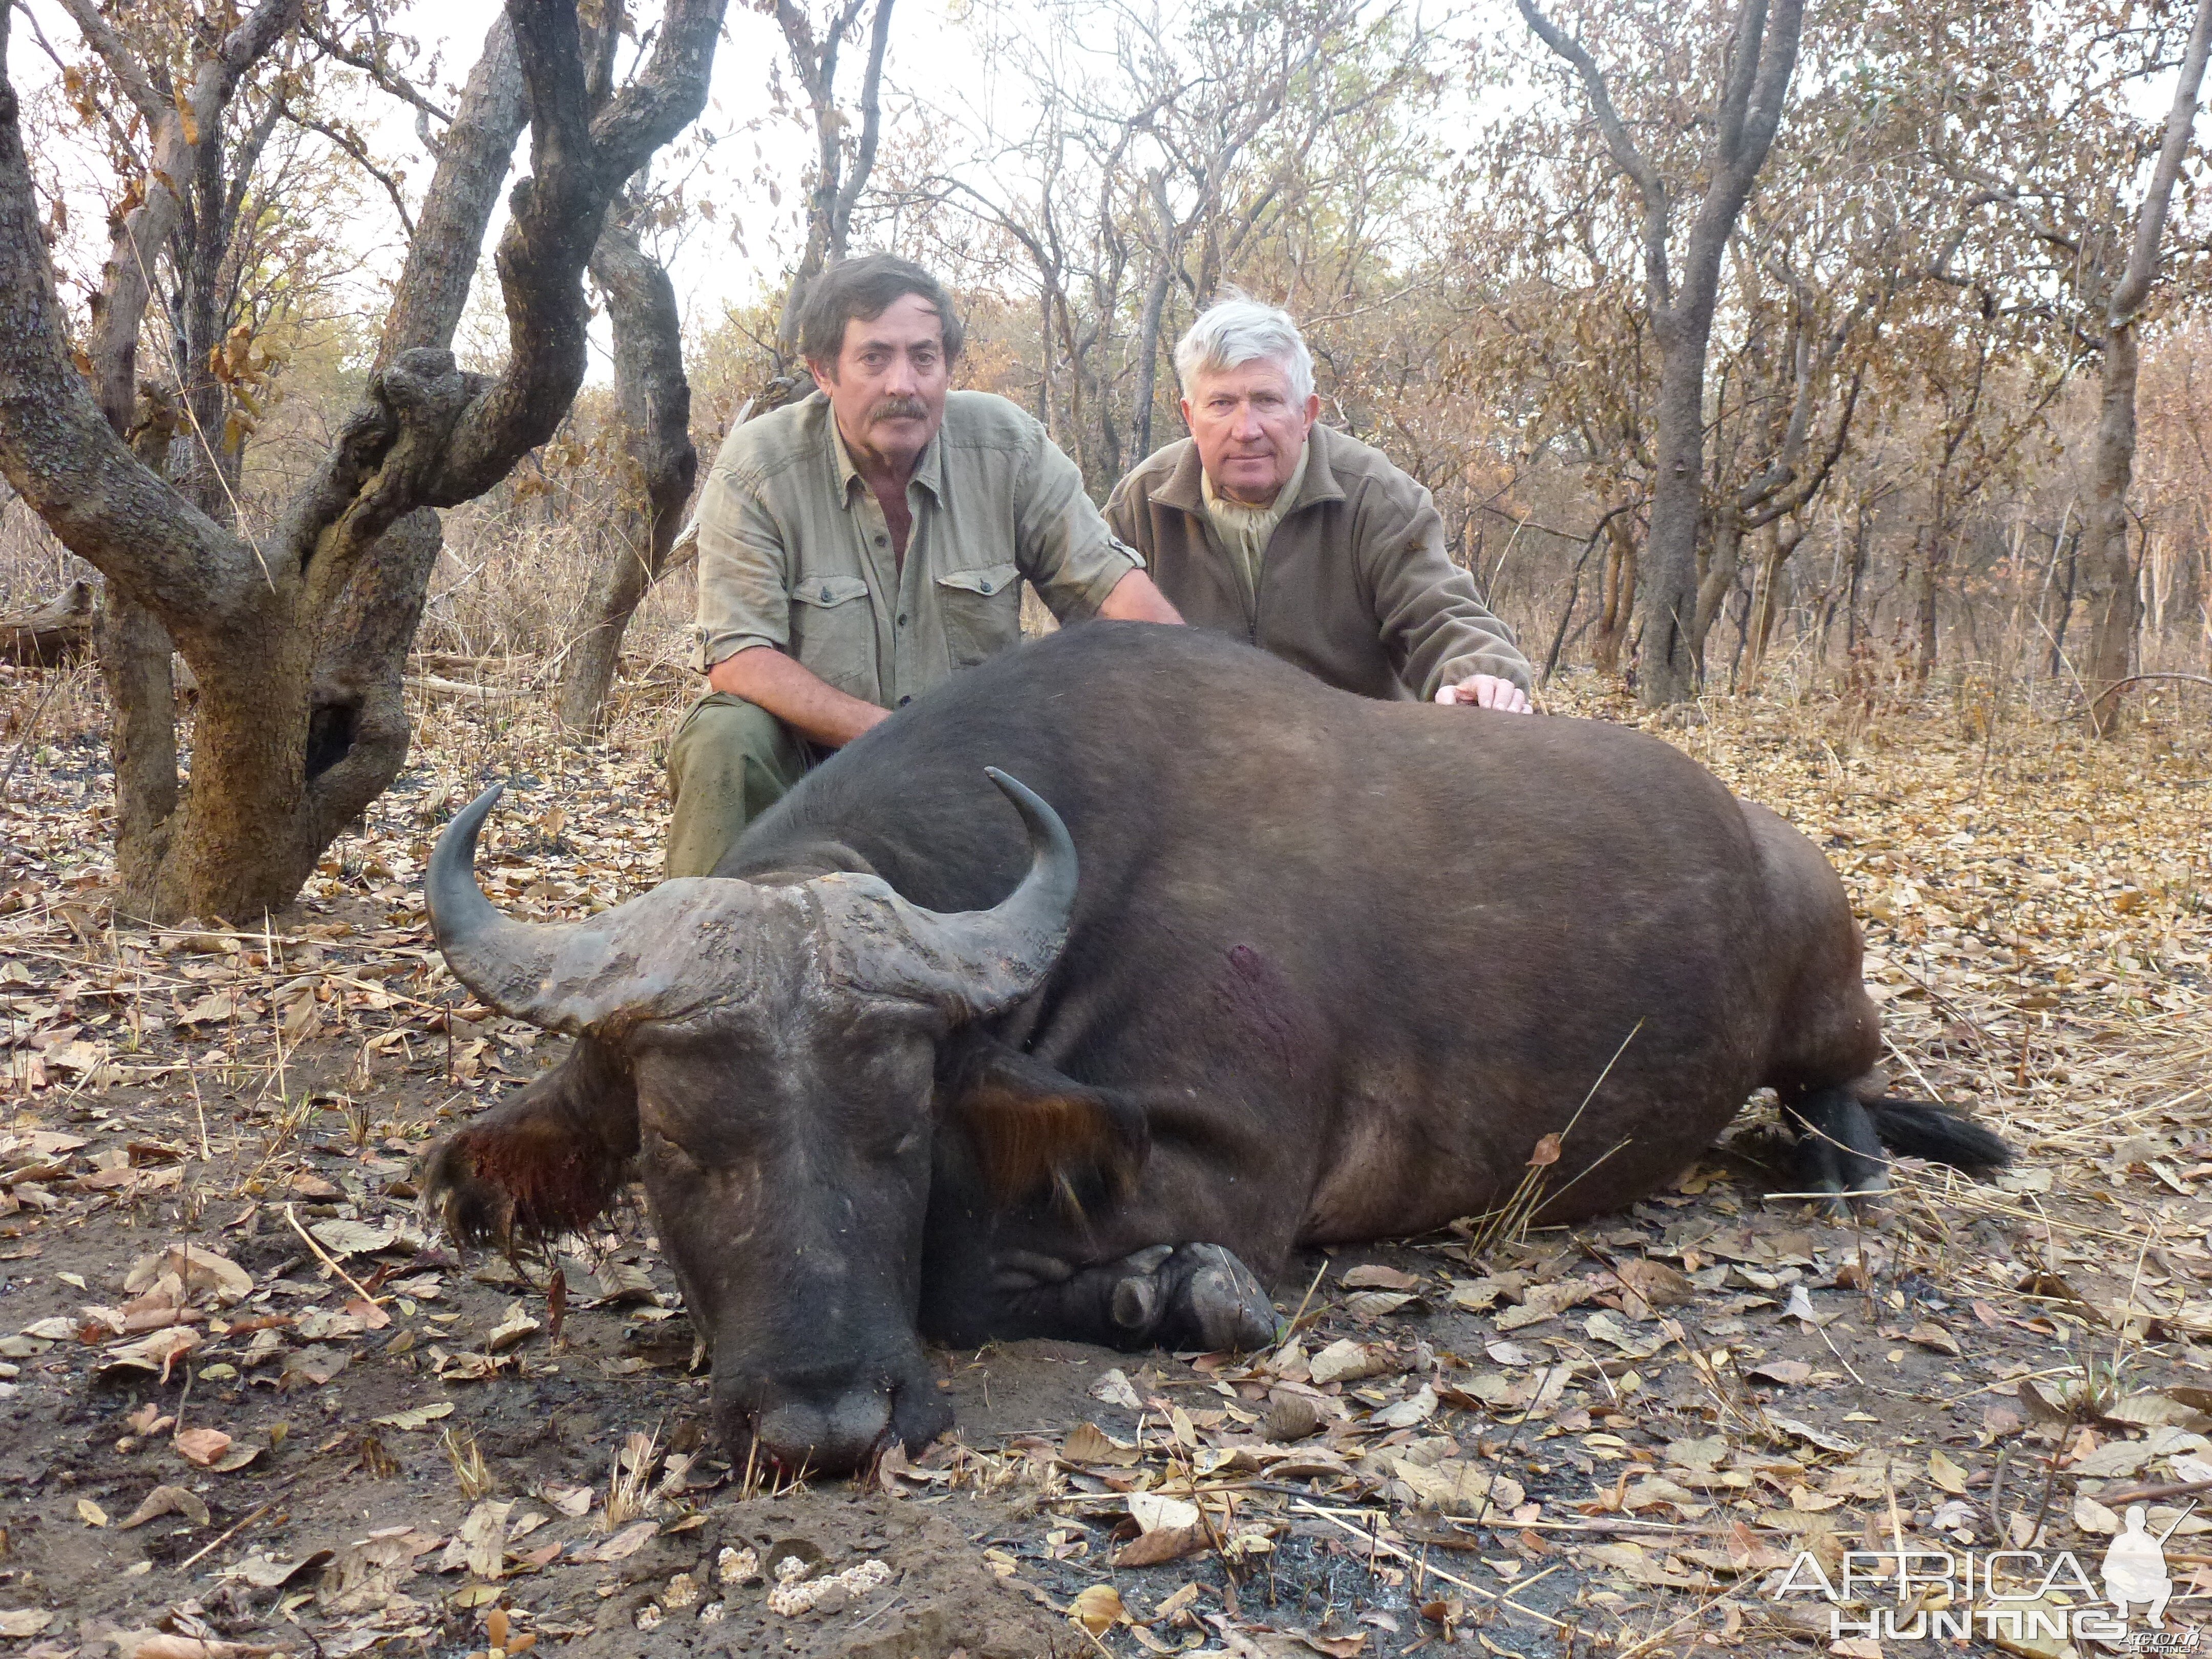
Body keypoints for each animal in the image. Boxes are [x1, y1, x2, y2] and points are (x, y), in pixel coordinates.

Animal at [422, 628, 2017, 1477]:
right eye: (678, 1147)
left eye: (900, 1125)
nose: (829, 1422)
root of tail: (1758, 832)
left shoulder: (1225, 1163)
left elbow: (963, 1270)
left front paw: (1167, 1291)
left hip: (1826, 977)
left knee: (1842, 1088)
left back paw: (1845, 1160)